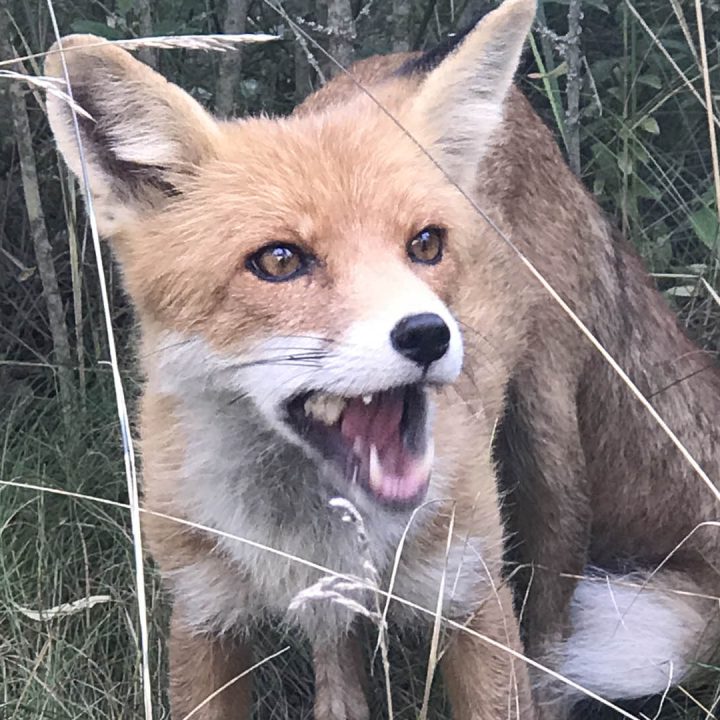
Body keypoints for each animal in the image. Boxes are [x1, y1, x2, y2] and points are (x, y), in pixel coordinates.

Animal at [44, 0, 720, 716]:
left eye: (425, 244)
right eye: (278, 260)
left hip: (550, 455)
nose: (427, 334)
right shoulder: (203, 616)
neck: (305, 533)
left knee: (553, 628)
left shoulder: (472, 597)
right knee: (337, 654)